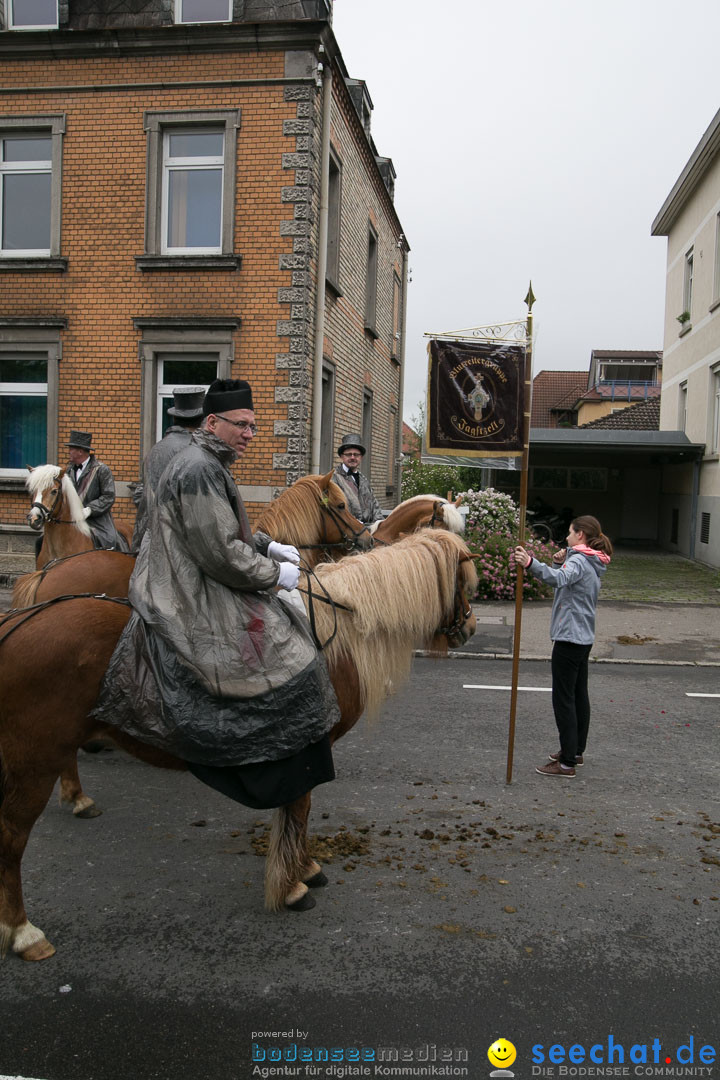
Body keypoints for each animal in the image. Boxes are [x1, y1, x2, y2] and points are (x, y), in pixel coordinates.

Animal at [0, 527, 479, 959]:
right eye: (464, 581)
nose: (471, 626)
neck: (335, 631)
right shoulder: (308, 751)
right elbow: (299, 810)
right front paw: (293, 885)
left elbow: (298, 813)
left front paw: (304, 868)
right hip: (33, 762)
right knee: (12, 838)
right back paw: (23, 932)